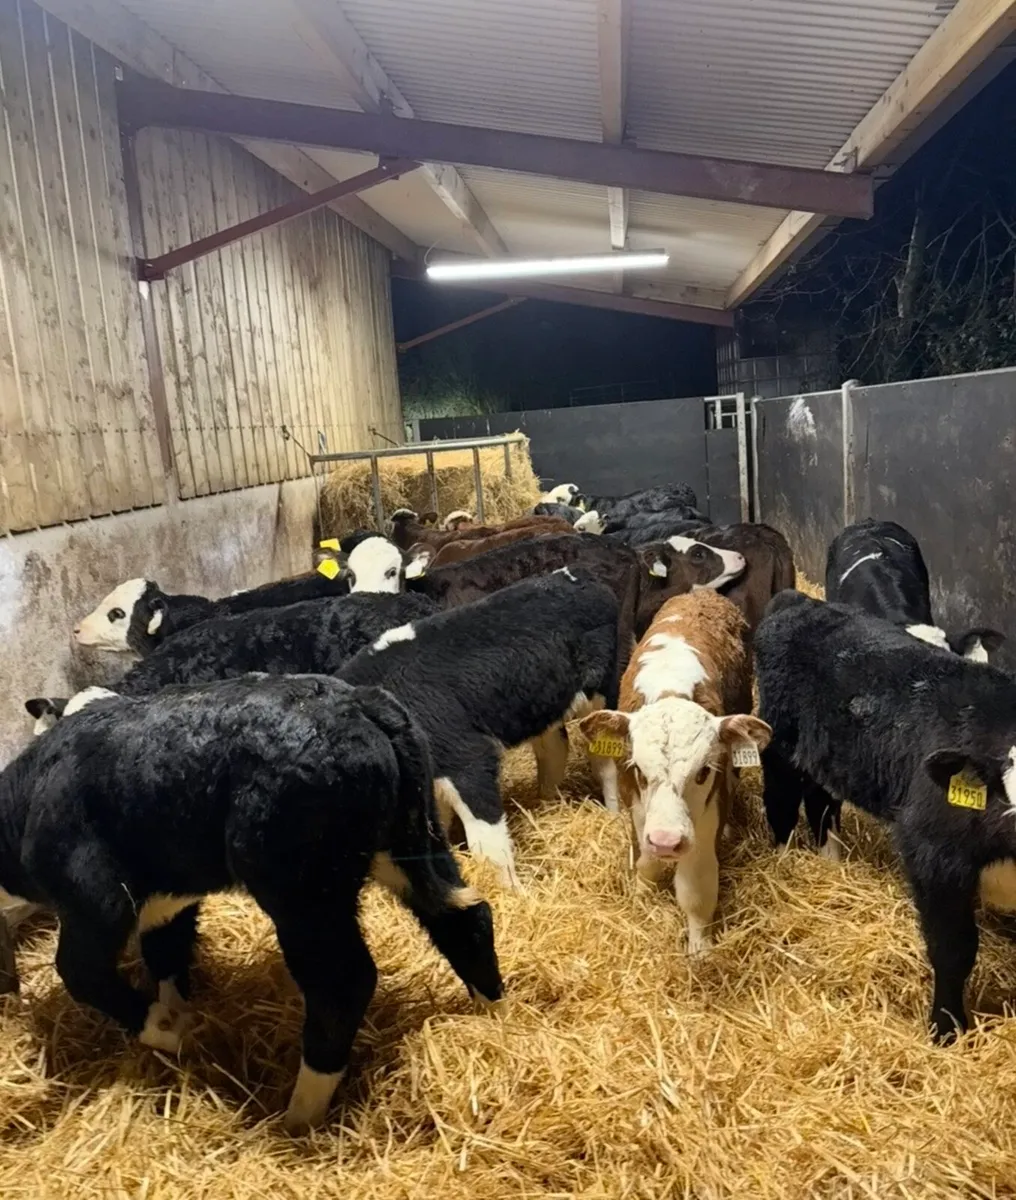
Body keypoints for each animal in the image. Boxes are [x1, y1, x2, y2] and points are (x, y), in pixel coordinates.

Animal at [0, 674, 502, 1130]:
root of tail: (358, 703)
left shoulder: (95, 898)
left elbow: (80, 972)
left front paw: (167, 1029)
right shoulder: (168, 899)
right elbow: (166, 956)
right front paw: (183, 1018)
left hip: (302, 891)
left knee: (342, 984)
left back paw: (298, 1116)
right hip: (410, 843)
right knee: (464, 915)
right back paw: (494, 1014)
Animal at [340, 571, 620, 889]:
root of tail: (576, 576)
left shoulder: (467, 759)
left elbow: (488, 844)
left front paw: (513, 892)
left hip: (603, 690)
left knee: (605, 761)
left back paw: (613, 813)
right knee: (553, 748)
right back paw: (549, 803)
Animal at [578, 591, 768, 954]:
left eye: (703, 771)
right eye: (638, 769)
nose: (667, 841)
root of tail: (701, 592)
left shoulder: (707, 815)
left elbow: (697, 888)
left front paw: (700, 950)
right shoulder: (637, 808)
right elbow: (647, 864)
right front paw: (640, 899)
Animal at [755, 589, 1016, 1039]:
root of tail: (799, 600)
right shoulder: (932, 851)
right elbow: (954, 950)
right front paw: (946, 1030)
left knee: (821, 799)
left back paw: (830, 858)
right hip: (778, 739)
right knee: (782, 799)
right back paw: (785, 856)